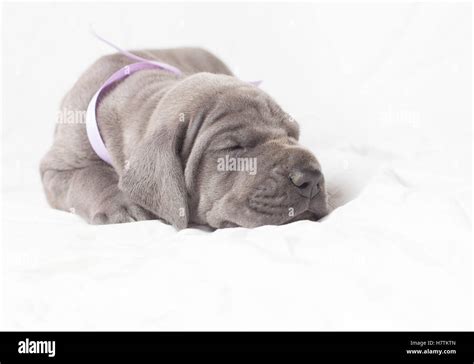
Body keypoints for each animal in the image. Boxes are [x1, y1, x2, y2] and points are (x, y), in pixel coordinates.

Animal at [40, 48, 328, 229]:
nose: (311, 177)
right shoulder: (54, 169)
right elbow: (88, 176)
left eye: (292, 135)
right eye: (234, 147)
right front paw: (121, 204)